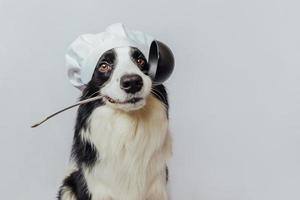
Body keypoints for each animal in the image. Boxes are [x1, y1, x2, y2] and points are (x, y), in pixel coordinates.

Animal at [57, 45, 171, 200]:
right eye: (104, 66)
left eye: (140, 60)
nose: (132, 82)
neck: (128, 124)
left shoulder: (157, 188)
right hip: (67, 187)